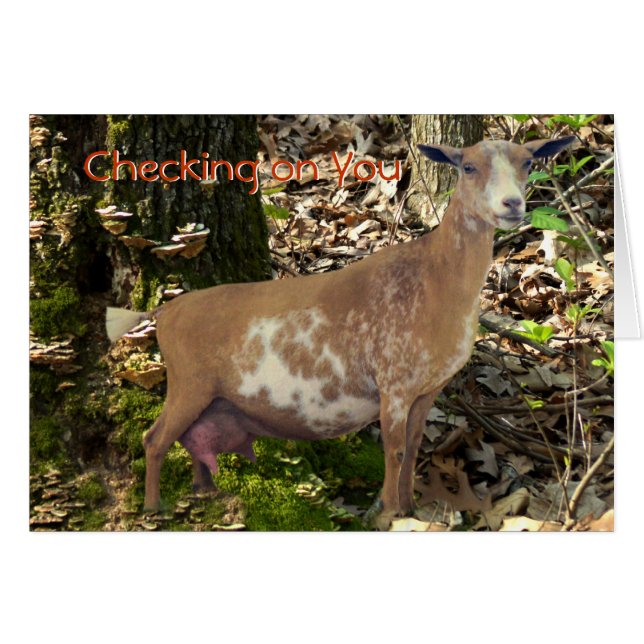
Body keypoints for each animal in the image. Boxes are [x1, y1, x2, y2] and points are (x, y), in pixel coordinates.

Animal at [107, 136, 574, 529]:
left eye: (528, 162)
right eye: (469, 167)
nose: (512, 204)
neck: (437, 281)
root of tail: (165, 310)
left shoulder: (427, 388)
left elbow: (414, 446)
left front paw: (410, 506)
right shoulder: (393, 379)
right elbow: (395, 448)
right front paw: (387, 513)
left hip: (208, 394)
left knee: (191, 437)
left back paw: (206, 492)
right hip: (189, 380)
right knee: (155, 438)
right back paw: (153, 507)